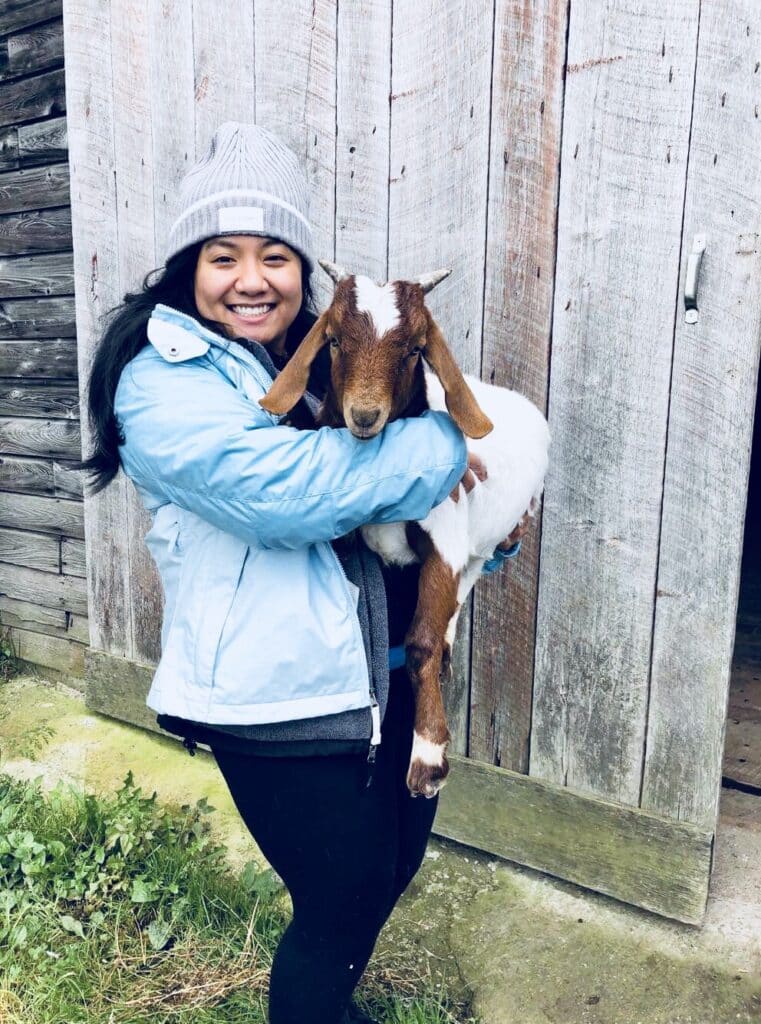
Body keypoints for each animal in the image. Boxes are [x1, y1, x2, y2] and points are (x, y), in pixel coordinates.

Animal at [260, 261, 550, 798]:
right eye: (333, 340)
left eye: (415, 349)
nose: (364, 415)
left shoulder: (445, 542)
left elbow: (420, 644)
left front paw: (428, 759)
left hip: (489, 537)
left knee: (467, 582)